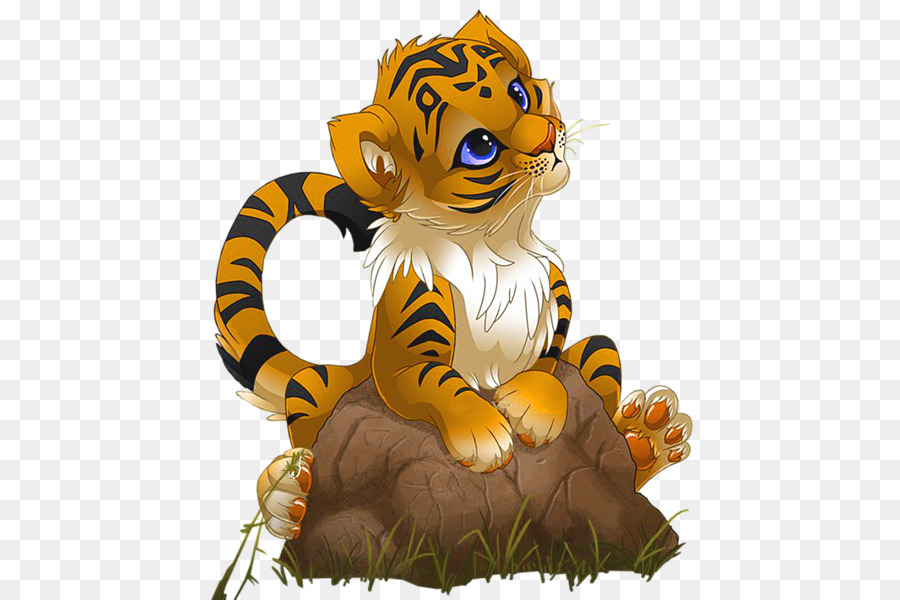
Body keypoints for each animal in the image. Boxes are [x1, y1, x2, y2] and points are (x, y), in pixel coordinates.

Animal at [215, 12, 692, 540]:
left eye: (519, 93)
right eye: (479, 147)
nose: (549, 136)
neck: (499, 240)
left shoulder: (557, 317)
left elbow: (549, 367)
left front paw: (532, 408)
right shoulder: (402, 359)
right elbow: (437, 380)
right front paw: (484, 435)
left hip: (598, 353)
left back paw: (649, 436)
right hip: (316, 386)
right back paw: (288, 497)